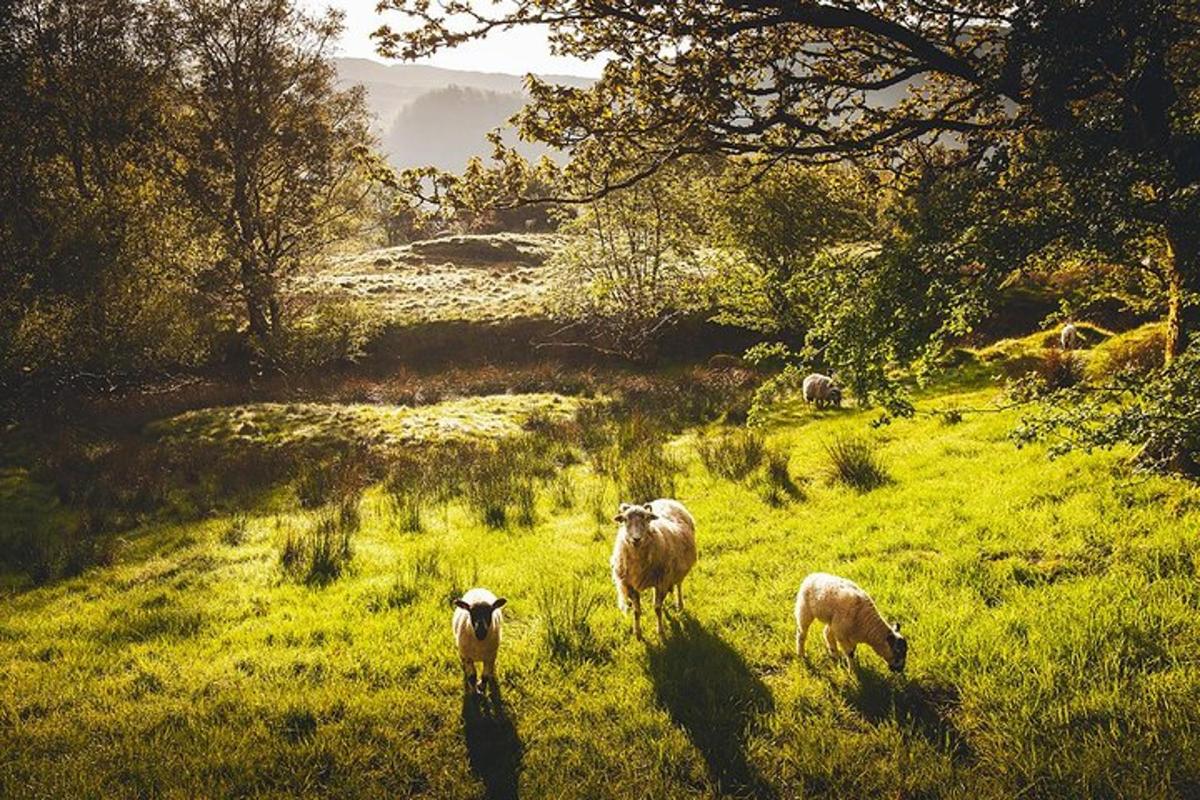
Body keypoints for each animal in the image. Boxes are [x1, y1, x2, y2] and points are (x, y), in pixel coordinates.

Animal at [614, 496, 700, 642]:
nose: (636, 539)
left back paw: (680, 604)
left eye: (646, 518)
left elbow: (657, 609)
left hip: (676, 571)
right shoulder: (630, 585)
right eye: (625, 520)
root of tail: (666, 499)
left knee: (678, 585)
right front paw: (637, 633)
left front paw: (661, 632)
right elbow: (636, 611)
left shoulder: (662, 582)